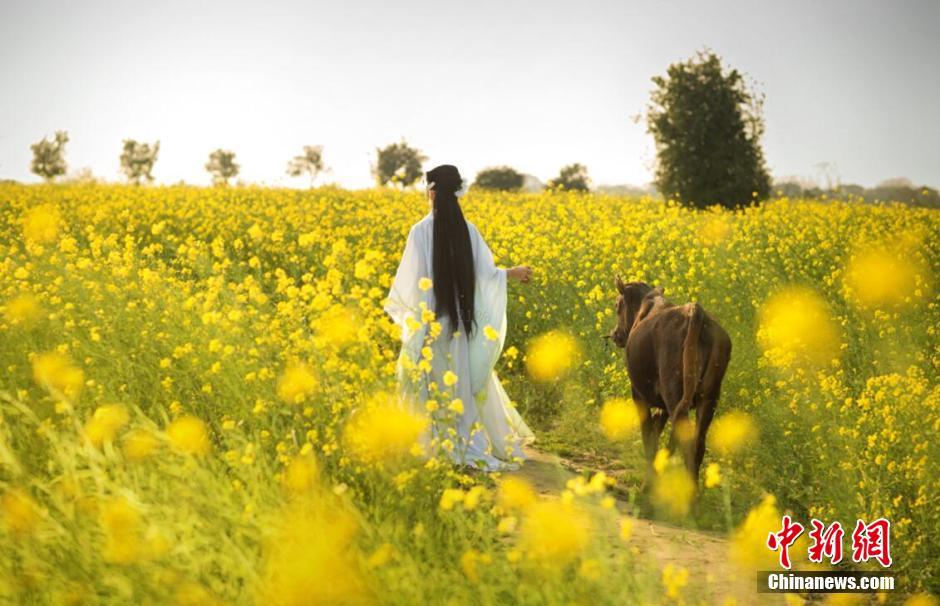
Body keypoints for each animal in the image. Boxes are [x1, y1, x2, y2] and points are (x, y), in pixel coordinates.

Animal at [608, 280, 736, 484]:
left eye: (616, 304)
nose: (615, 333)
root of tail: (695, 311)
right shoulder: (664, 406)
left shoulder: (638, 394)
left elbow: (648, 435)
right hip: (708, 397)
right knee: (697, 443)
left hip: (673, 392)